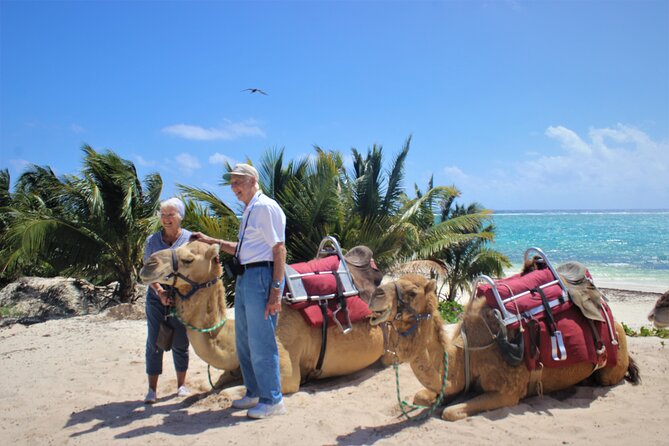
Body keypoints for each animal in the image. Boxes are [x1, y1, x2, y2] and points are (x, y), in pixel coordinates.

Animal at [368, 274, 640, 421]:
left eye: (413, 292)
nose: (374, 295)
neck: (467, 355)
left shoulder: (508, 392)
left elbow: (450, 412)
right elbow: (421, 396)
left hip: (612, 364)